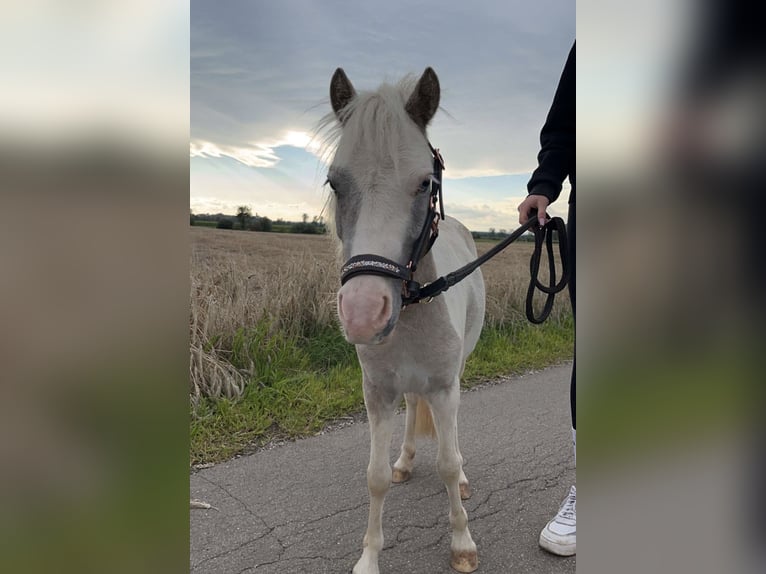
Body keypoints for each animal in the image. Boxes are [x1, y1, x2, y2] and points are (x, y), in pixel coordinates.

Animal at [324, 68, 486, 574]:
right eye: (335, 183)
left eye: (424, 184)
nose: (362, 312)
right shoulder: (377, 392)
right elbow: (374, 476)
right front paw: (368, 558)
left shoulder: (445, 387)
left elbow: (448, 464)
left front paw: (462, 544)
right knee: (414, 409)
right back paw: (406, 460)